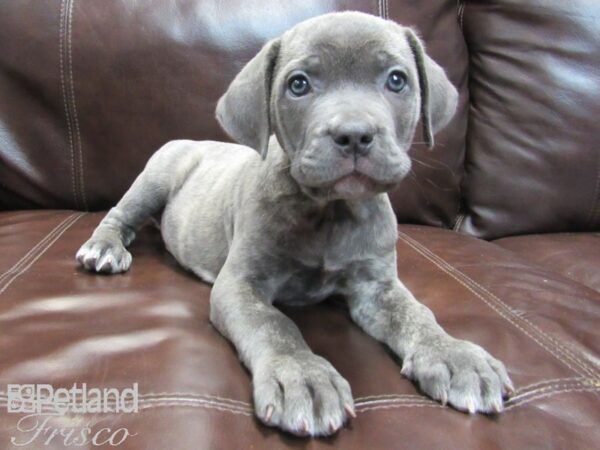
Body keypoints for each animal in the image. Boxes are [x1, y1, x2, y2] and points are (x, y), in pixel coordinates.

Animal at [77, 12, 512, 438]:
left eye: (396, 79)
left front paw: (455, 355)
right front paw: (302, 376)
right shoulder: (240, 284)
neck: (331, 212)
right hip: (157, 174)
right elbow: (274, 325)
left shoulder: (376, 286)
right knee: (119, 215)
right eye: (298, 84)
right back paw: (104, 249)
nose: (354, 134)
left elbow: (417, 314)